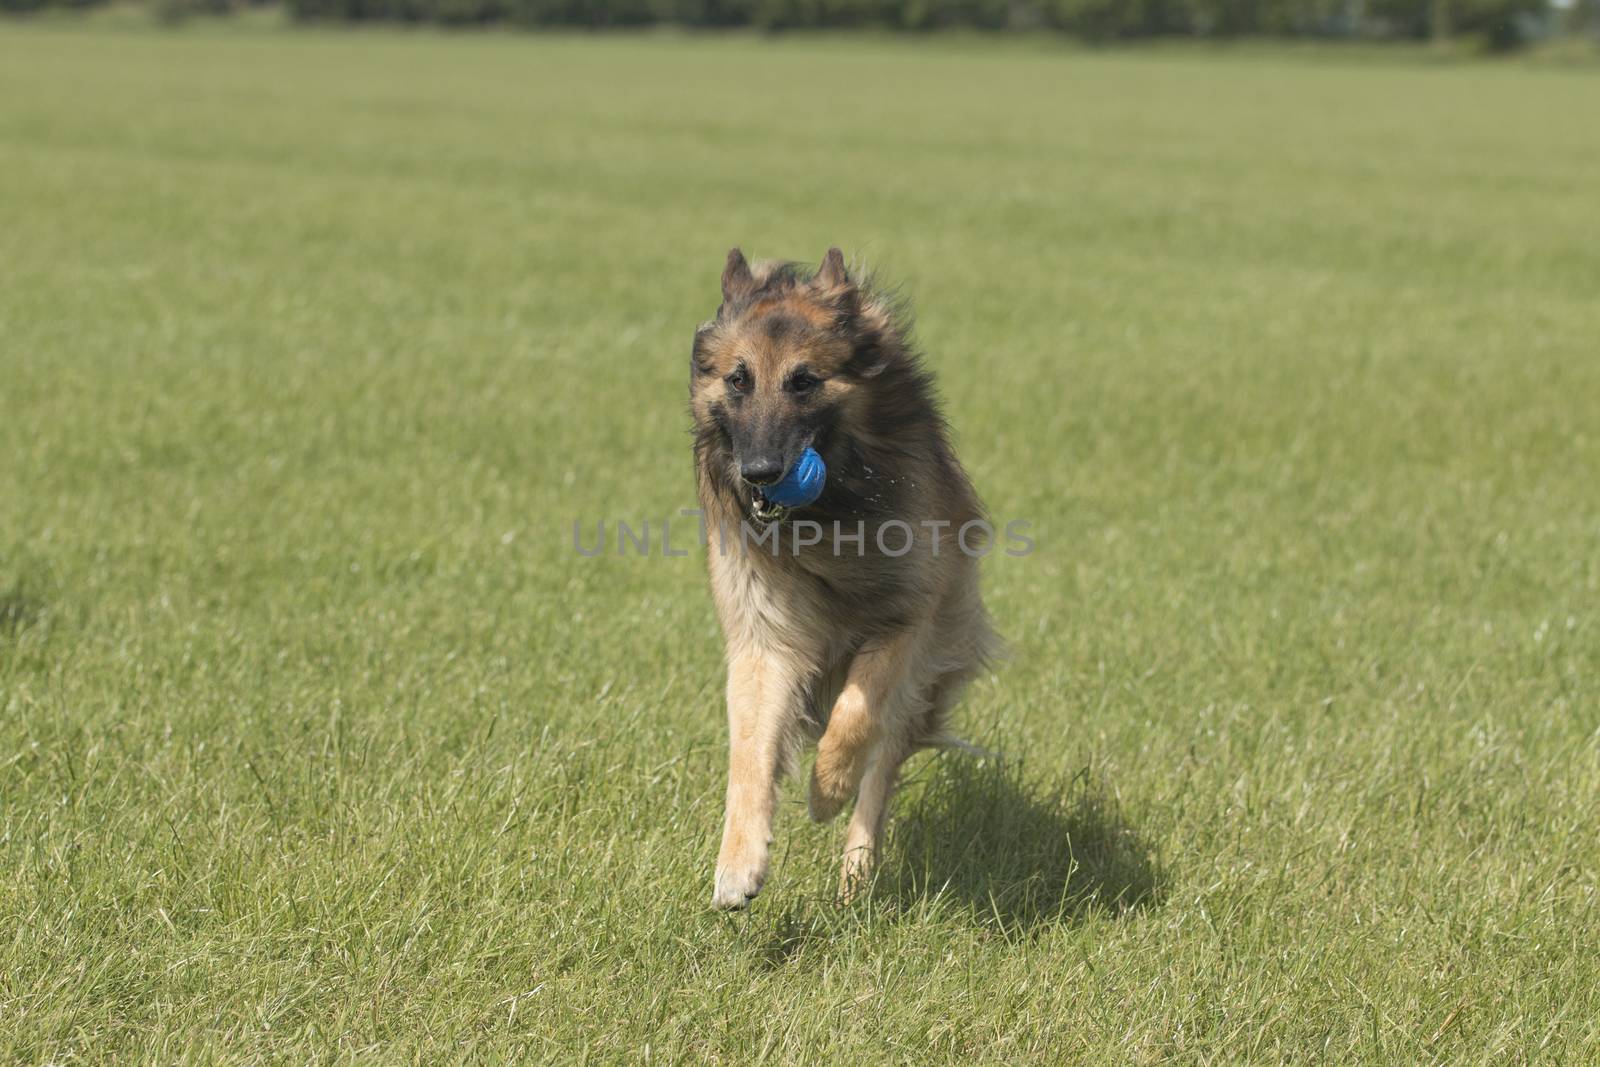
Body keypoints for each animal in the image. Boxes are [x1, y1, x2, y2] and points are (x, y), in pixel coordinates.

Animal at [691, 247, 992, 908]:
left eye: (804, 381)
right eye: (738, 380)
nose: (759, 473)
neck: (829, 514)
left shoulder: (908, 617)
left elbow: (856, 712)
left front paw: (827, 787)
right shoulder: (764, 641)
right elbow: (748, 755)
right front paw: (738, 864)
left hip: (924, 673)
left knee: (880, 771)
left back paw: (856, 876)